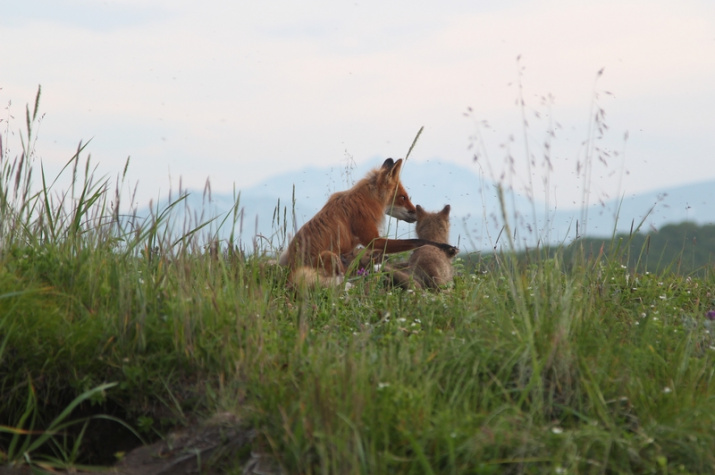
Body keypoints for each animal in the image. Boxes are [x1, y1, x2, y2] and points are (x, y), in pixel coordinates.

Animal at [280, 158, 458, 288]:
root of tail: (286, 278)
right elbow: (417, 240)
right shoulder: (373, 240)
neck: (365, 200)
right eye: (403, 197)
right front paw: (446, 247)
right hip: (330, 255)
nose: (416, 211)